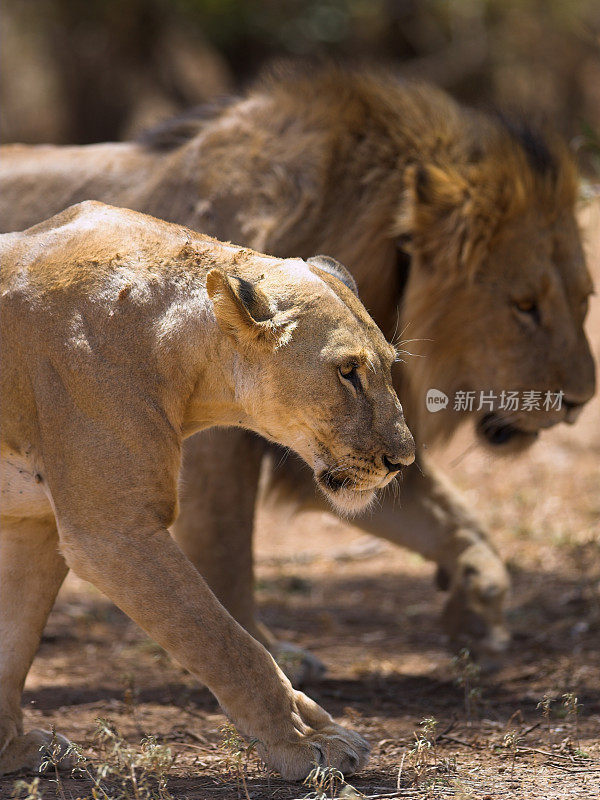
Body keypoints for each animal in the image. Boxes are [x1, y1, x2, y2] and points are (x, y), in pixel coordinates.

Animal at [0, 67, 596, 664]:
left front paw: (474, 611)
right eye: (525, 306)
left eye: (585, 297)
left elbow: (463, 525)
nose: (580, 401)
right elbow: (225, 549)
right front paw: (273, 654)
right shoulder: (218, 449)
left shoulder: (337, 452)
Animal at [0, 202, 412, 780]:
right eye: (347, 371)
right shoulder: (114, 532)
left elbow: (13, 641)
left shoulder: (33, 521)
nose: (404, 459)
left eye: (389, 366)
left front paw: (10, 750)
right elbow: (226, 642)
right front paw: (303, 741)